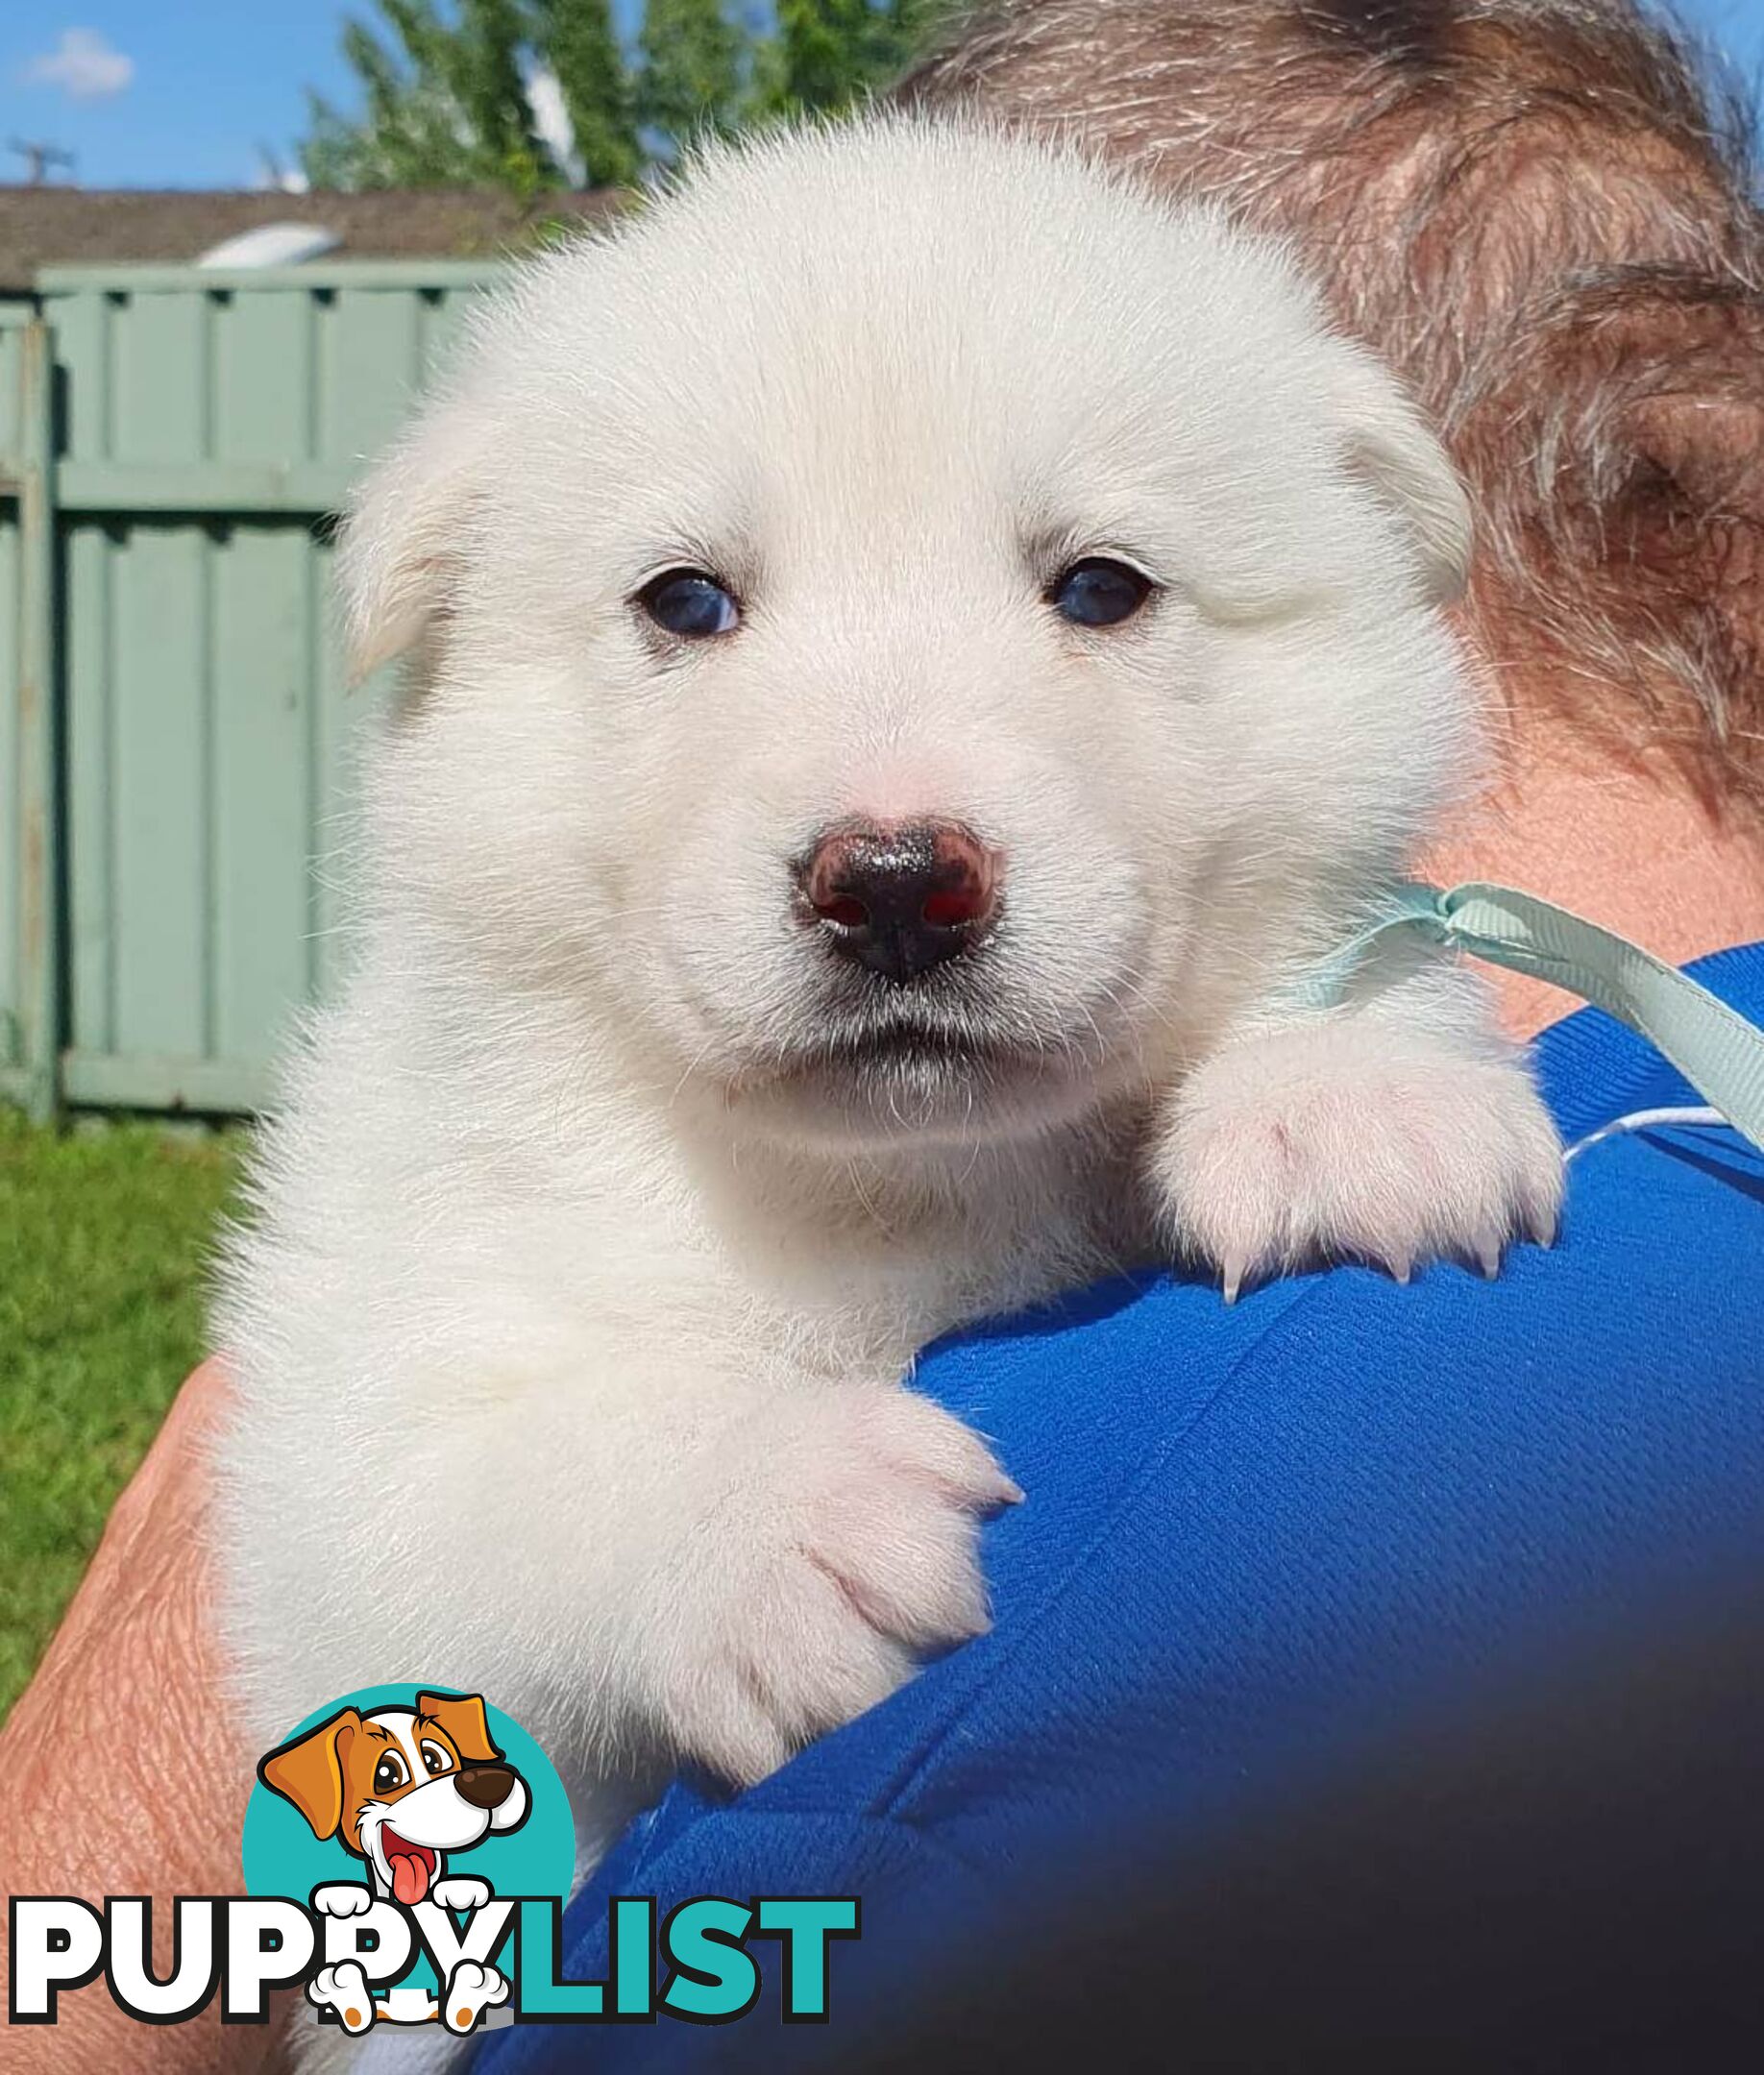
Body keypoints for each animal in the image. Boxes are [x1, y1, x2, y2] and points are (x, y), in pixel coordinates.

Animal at [216, 117, 1552, 1900]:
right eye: (686, 602)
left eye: (1101, 588)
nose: (902, 882)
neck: (905, 1193)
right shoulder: (349, 1418)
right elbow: (480, 1485)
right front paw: (770, 1508)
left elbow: (1360, 937)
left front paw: (1350, 1087)